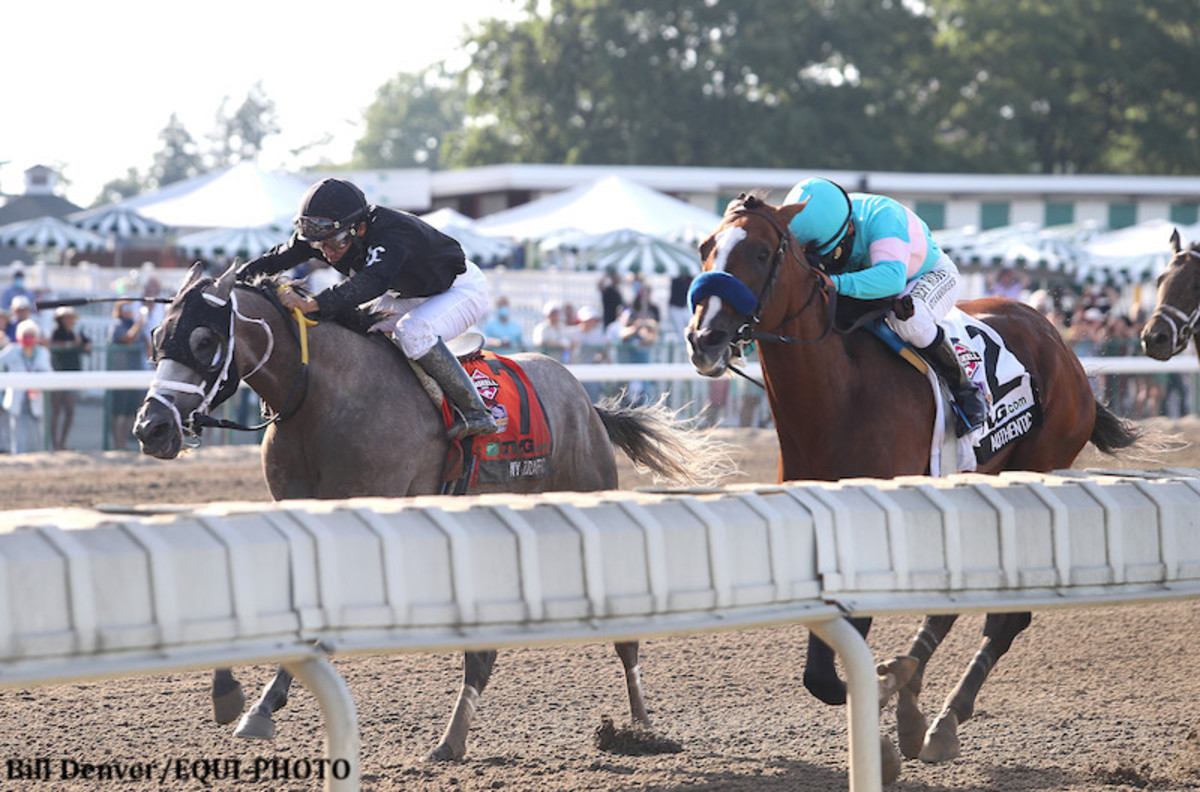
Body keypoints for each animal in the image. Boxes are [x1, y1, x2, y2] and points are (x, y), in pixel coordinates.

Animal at [135, 264, 724, 763]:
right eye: (156, 339)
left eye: (205, 340)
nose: (151, 429)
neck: (323, 395)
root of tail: (585, 399)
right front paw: (234, 694)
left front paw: (258, 708)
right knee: (483, 654)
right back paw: (453, 740)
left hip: (590, 497)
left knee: (624, 633)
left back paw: (641, 729)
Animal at [686, 193, 1132, 777]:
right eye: (705, 247)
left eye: (761, 253)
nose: (704, 339)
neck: (839, 394)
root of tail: (1060, 341)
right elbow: (819, 674)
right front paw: (890, 706)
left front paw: (882, 724)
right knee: (953, 605)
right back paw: (922, 705)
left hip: (1036, 468)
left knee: (1007, 616)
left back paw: (939, 718)